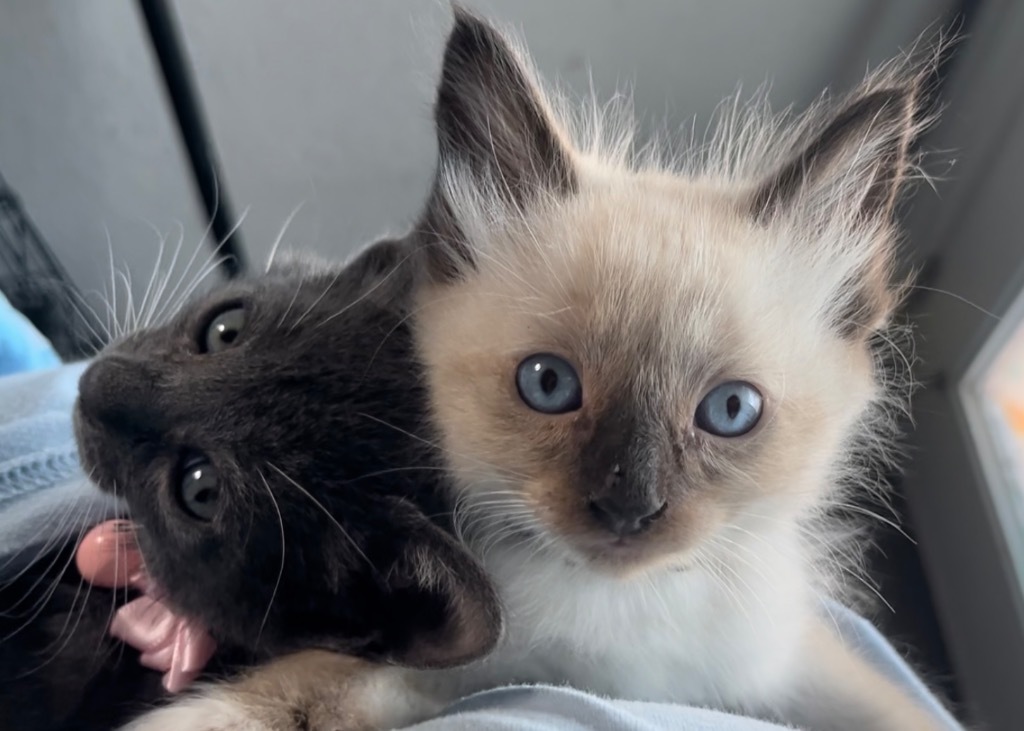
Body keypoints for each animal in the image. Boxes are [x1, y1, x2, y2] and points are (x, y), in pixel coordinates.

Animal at [121, 9, 958, 728]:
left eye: (730, 411)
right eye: (549, 385)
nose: (629, 510)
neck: (619, 625)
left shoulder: (777, 664)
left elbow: (903, 709)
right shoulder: (448, 668)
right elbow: (281, 695)